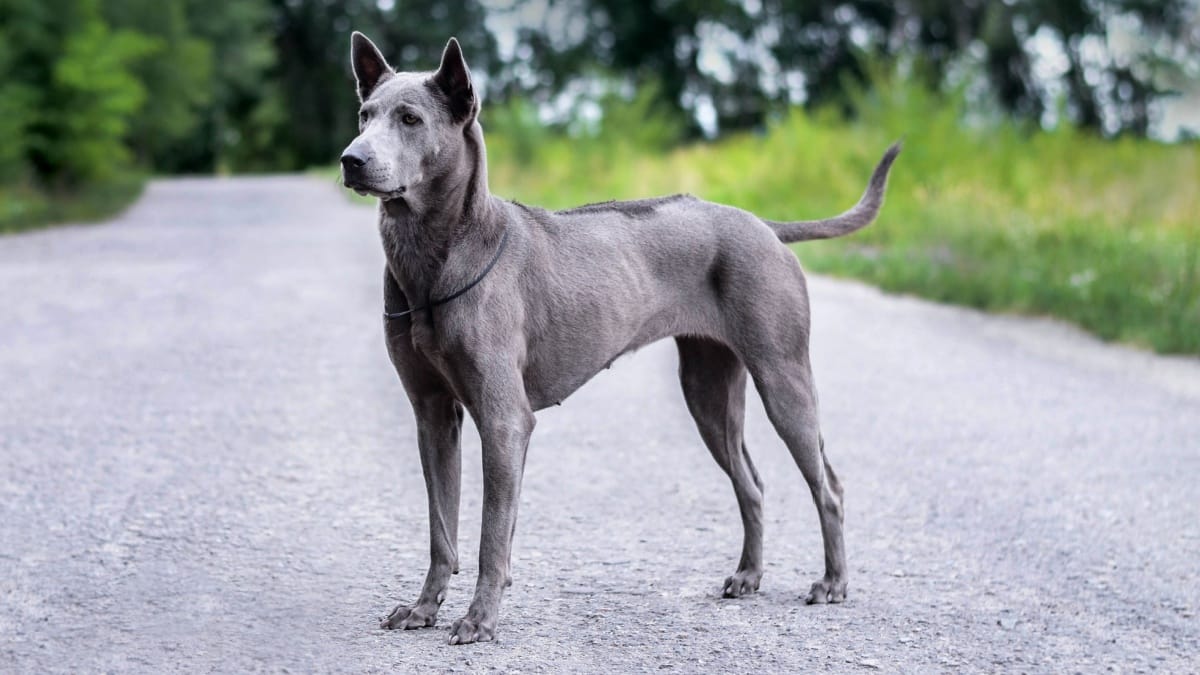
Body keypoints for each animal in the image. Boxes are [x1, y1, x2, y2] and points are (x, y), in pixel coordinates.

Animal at [340, 34, 902, 643]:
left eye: (411, 119)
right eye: (365, 114)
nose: (351, 159)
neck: (436, 258)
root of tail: (764, 226)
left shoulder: (504, 419)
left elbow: (493, 535)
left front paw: (480, 618)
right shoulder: (433, 416)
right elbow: (441, 529)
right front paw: (423, 608)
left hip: (784, 380)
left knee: (828, 486)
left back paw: (833, 583)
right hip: (708, 391)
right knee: (750, 484)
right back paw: (748, 576)